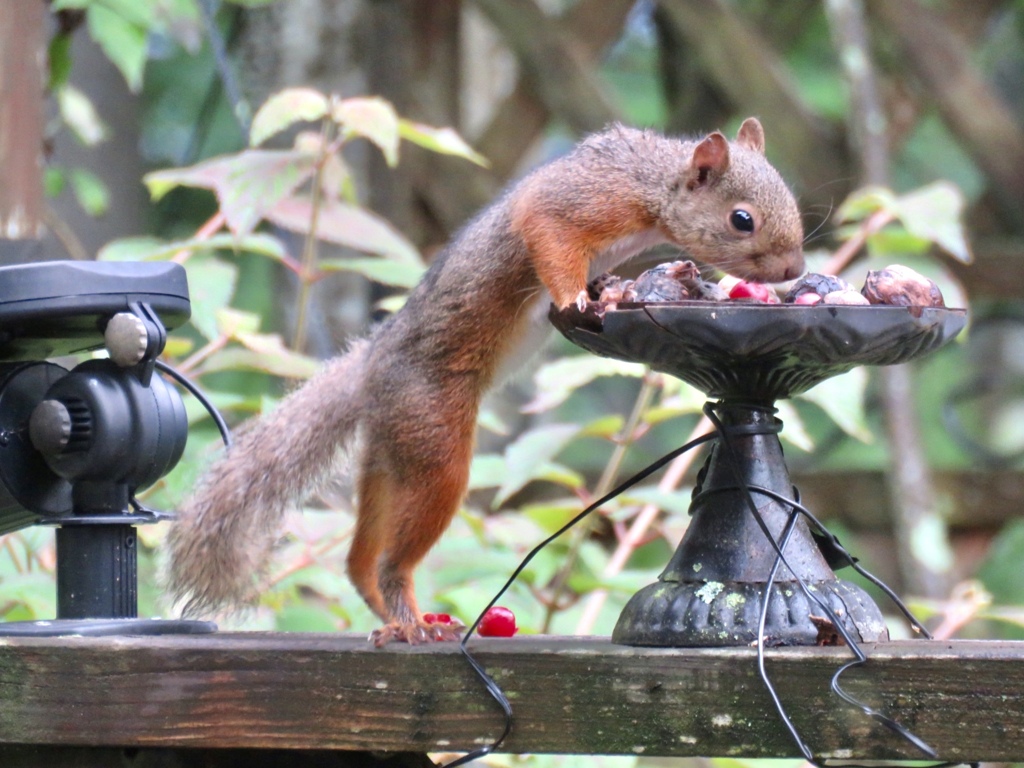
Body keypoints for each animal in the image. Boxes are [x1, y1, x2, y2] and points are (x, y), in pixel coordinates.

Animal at [163, 115, 802, 643]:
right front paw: (580, 297)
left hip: (390, 453)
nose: (794, 269)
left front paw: (613, 288)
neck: (654, 182)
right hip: (435, 437)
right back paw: (411, 621)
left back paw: (388, 613)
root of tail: (374, 366)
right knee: (399, 550)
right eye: (741, 219)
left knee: (360, 555)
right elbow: (547, 230)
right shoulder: (589, 199)